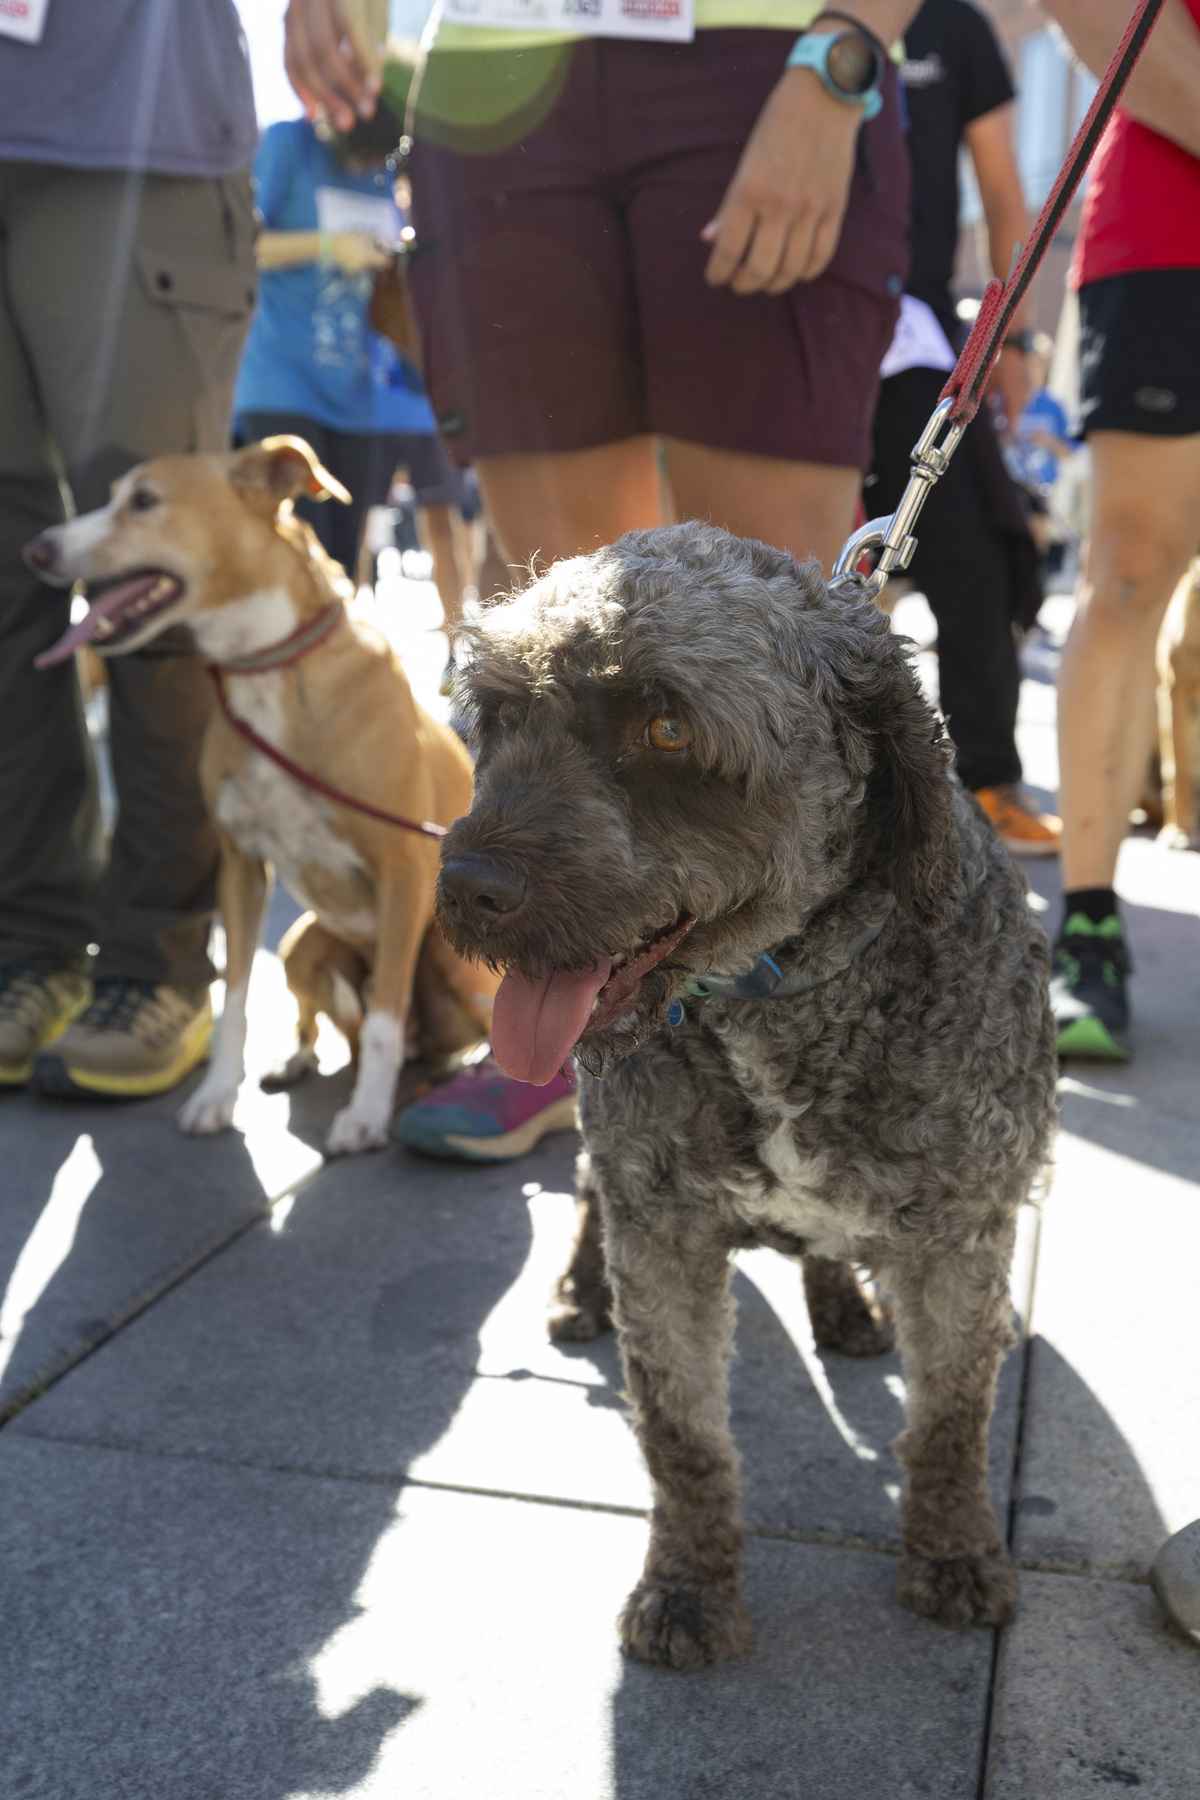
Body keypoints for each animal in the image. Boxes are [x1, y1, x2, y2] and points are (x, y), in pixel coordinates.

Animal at [30, 435, 496, 1152]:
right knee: (320, 1018)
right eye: (112, 497)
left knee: (446, 1027)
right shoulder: (241, 867)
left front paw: (365, 1114)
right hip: (302, 946)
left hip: (453, 959)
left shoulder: (403, 867)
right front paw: (219, 1095)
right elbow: (236, 1000)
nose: (38, 548)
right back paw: (297, 1060)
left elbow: (385, 1015)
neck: (271, 667)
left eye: (145, 501)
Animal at [437, 522, 1057, 1670]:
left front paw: (953, 1551)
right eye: (498, 715)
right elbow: (682, 1437)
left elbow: (953, 1418)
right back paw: (579, 1288)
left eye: (668, 727)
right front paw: (688, 1587)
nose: (465, 888)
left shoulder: (960, 1240)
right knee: (586, 1191)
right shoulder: (662, 1235)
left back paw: (842, 1301)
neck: (780, 1000)